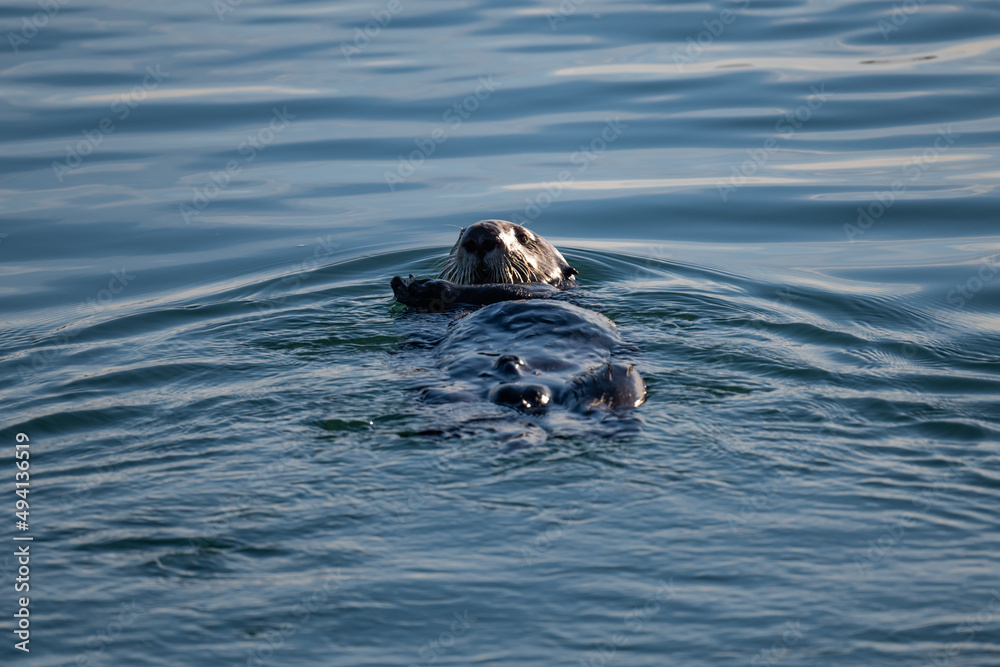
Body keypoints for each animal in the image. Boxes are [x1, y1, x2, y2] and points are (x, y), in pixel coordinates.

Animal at [391, 220, 645, 427]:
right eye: (461, 235)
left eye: (523, 238)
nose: (480, 237)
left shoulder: (542, 292)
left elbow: (503, 290)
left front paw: (419, 285)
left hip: (619, 376)